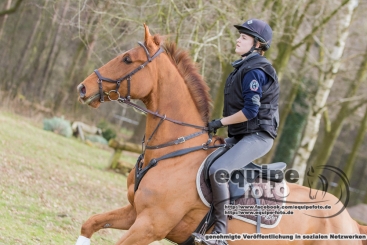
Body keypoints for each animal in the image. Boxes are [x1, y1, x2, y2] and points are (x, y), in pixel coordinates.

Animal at [75, 23, 367, 245]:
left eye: (126, 59)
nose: (82, 88)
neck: (174, 152)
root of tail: (352, 223)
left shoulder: (149, 226)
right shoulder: (134, 214)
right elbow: (89, 223)